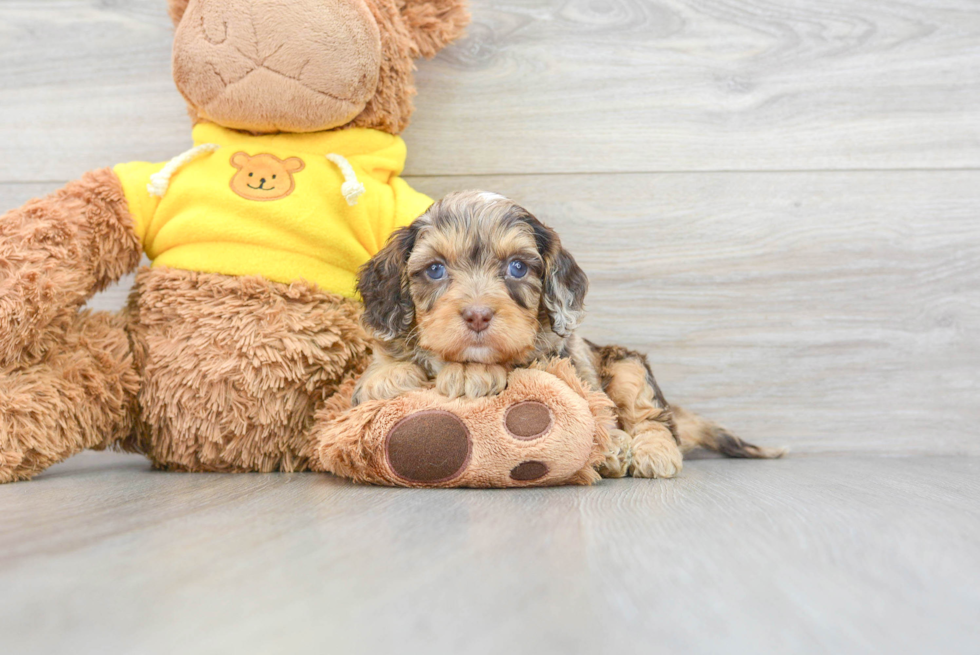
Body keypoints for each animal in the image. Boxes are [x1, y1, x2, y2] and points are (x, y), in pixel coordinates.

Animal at [356, 190, 784, 476]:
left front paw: (469, 372)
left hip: (628, 366)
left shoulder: (558, 359)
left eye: (517, 267)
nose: (478, 316)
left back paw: (646, 452)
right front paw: (389, 375)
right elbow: (378, 375)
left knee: (655, 418)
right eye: (435, 269)